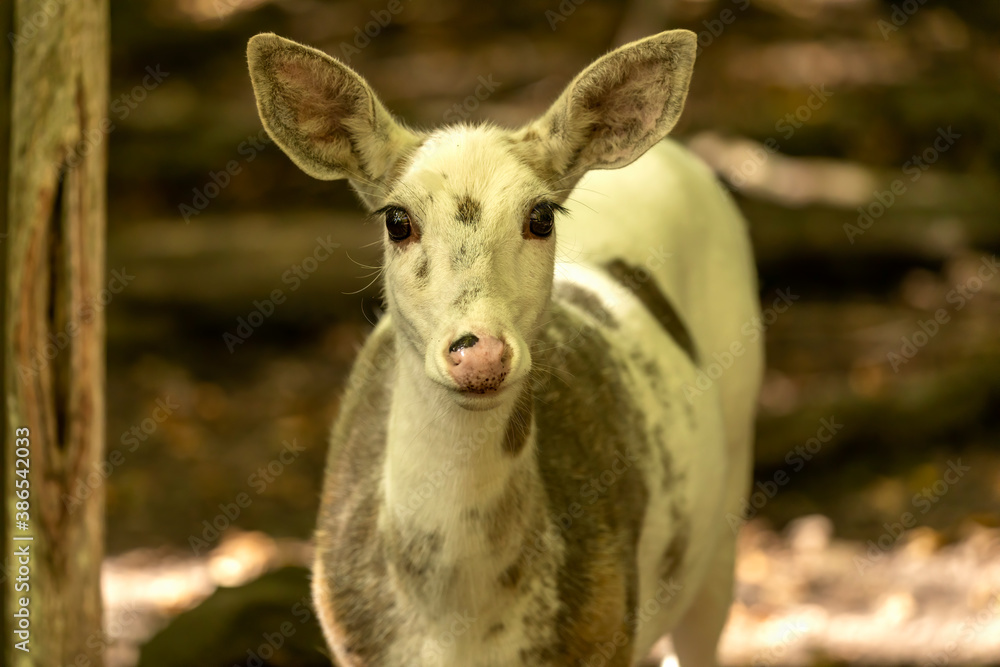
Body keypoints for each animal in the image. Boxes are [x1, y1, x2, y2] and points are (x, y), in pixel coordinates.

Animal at [247, 28, 762, 667]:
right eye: (397, 219)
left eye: (540, 216)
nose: (481, 352)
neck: (459, 623)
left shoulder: (607, 629)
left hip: (731, 482)